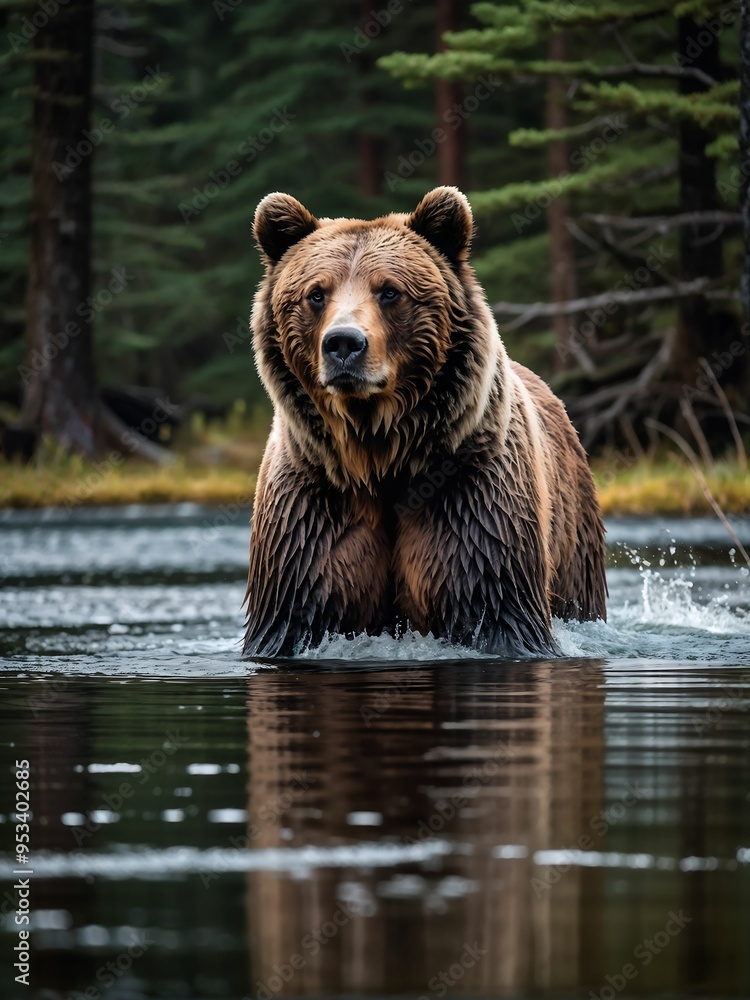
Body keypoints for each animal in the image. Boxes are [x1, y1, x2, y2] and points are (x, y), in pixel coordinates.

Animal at [242, 186, 606, 658]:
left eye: (390, 291)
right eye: (316, 293)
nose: (343, 343)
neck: (379, 455)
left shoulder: (470, 493)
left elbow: (494, 605)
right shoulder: (312, 505)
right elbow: (295, 613)